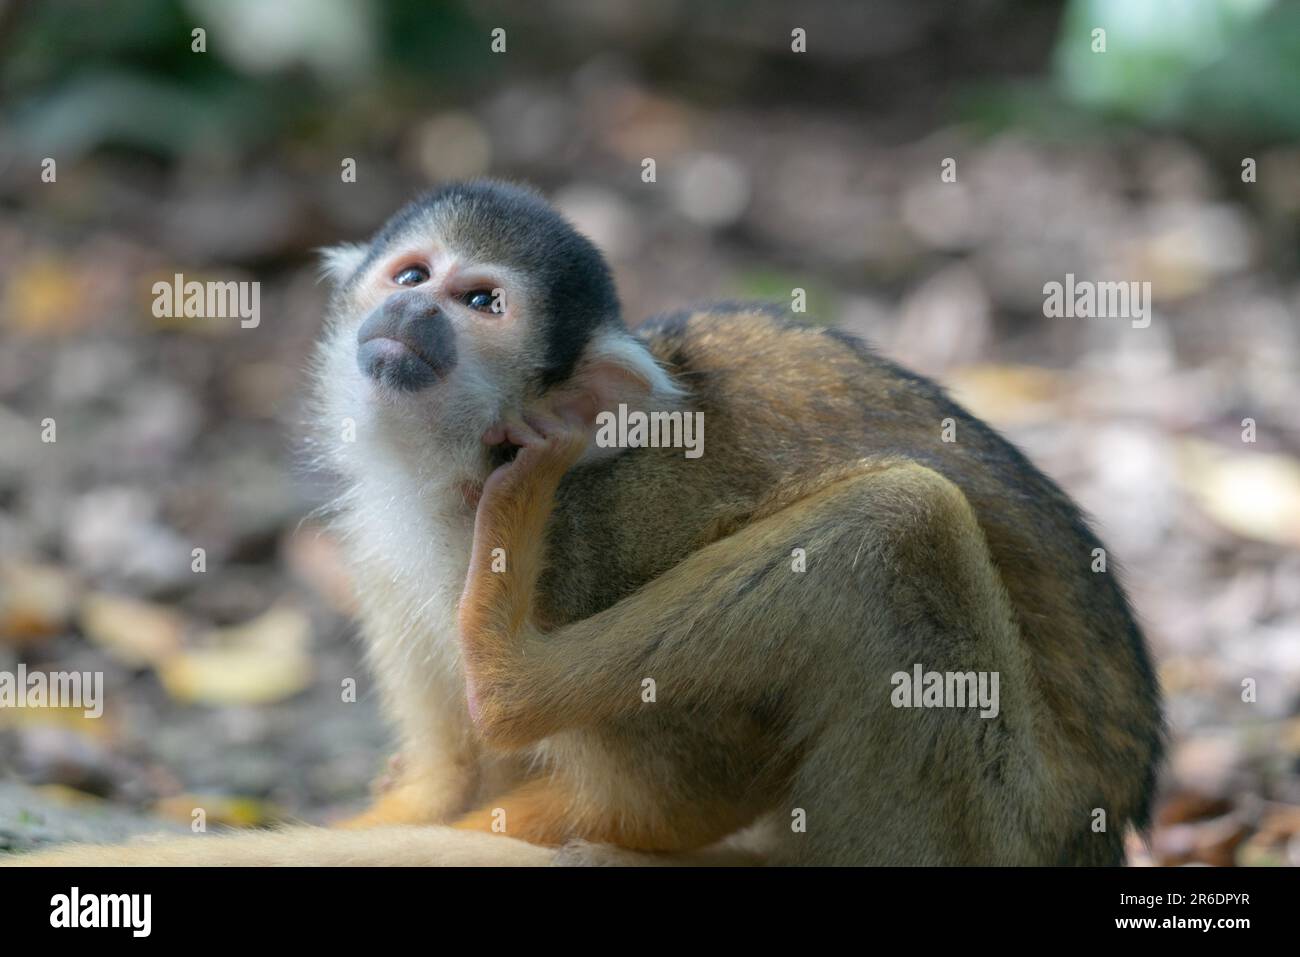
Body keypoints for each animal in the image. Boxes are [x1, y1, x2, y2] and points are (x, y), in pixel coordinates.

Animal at [10, 179, 1164, 868]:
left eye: (481, 304)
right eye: (413, 275)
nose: (409, 313)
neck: (462, 469)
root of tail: (1103, 832)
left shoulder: (603, 532)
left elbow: (695, 789)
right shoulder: (379, 536)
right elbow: (453, 775)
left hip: (986, 833)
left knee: (900, 523)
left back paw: (512, 672)